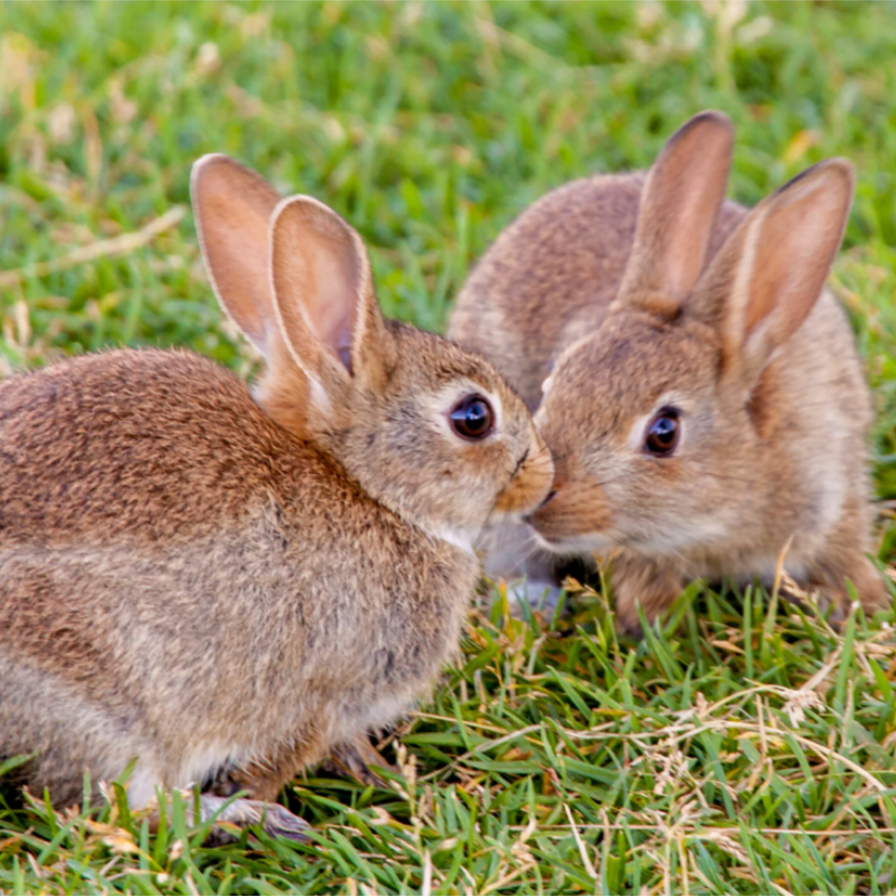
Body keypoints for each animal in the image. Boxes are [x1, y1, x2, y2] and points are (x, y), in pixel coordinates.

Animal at [0, 154, 554, 837]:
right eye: (473, 417)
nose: (545, 475)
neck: (368, 489)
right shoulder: (321, 693)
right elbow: (292, 751)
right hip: (100, 710)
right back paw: (251, 817)